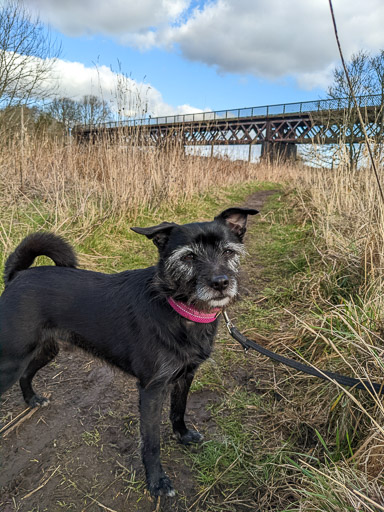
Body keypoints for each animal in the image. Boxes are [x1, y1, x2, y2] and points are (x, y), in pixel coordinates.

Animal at [0, 207, 258, 496]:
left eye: (228, 252)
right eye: (188, 256)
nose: (221, 282)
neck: (177, 308)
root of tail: (18, 276)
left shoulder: (185, 376)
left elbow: (178, 410)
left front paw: (182, 435)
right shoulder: (152, 389)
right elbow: (152, 442)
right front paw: (157, 482)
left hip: (44, 351)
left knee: (27, 374)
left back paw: (32, 399)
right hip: (10, 361)